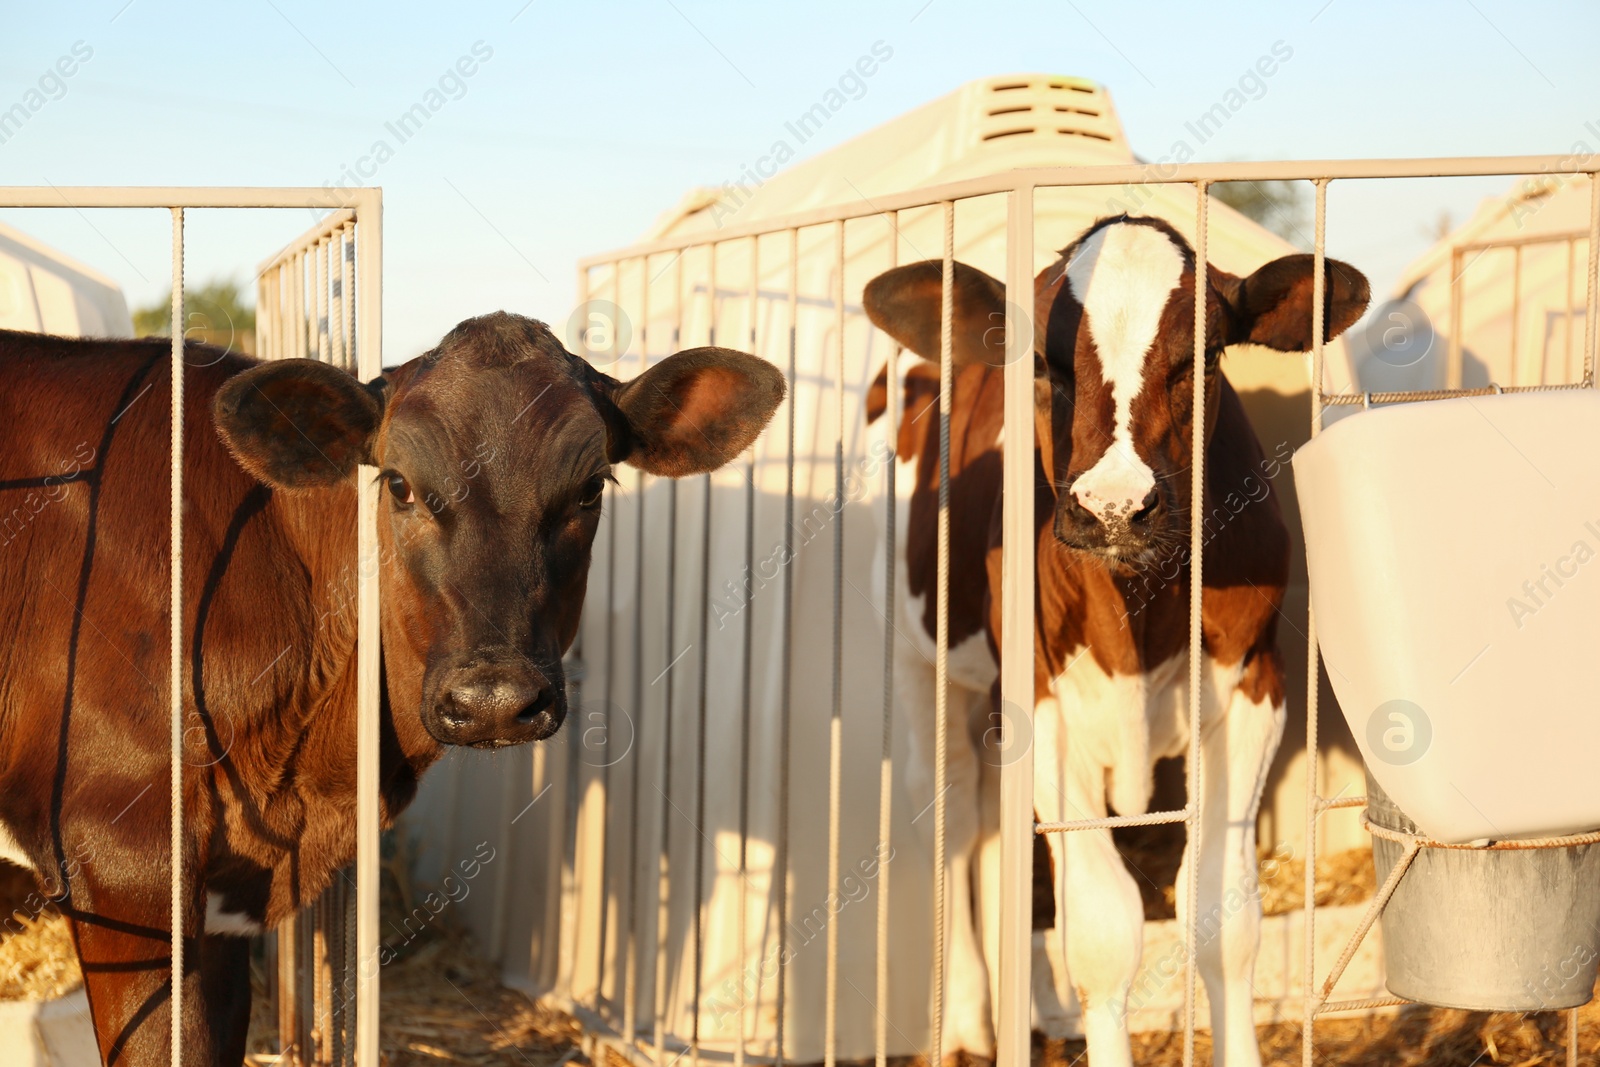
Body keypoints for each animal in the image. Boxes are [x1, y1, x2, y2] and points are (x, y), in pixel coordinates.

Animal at [870, 219, 1369, 1067]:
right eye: (1040, 362)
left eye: (1205, 355)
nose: (1113, 508)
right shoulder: (1042, 702)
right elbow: (1102, 930)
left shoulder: (1255, 683)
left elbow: (1223, 913)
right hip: (916, 656)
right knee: (952, 815)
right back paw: (966, 1025)